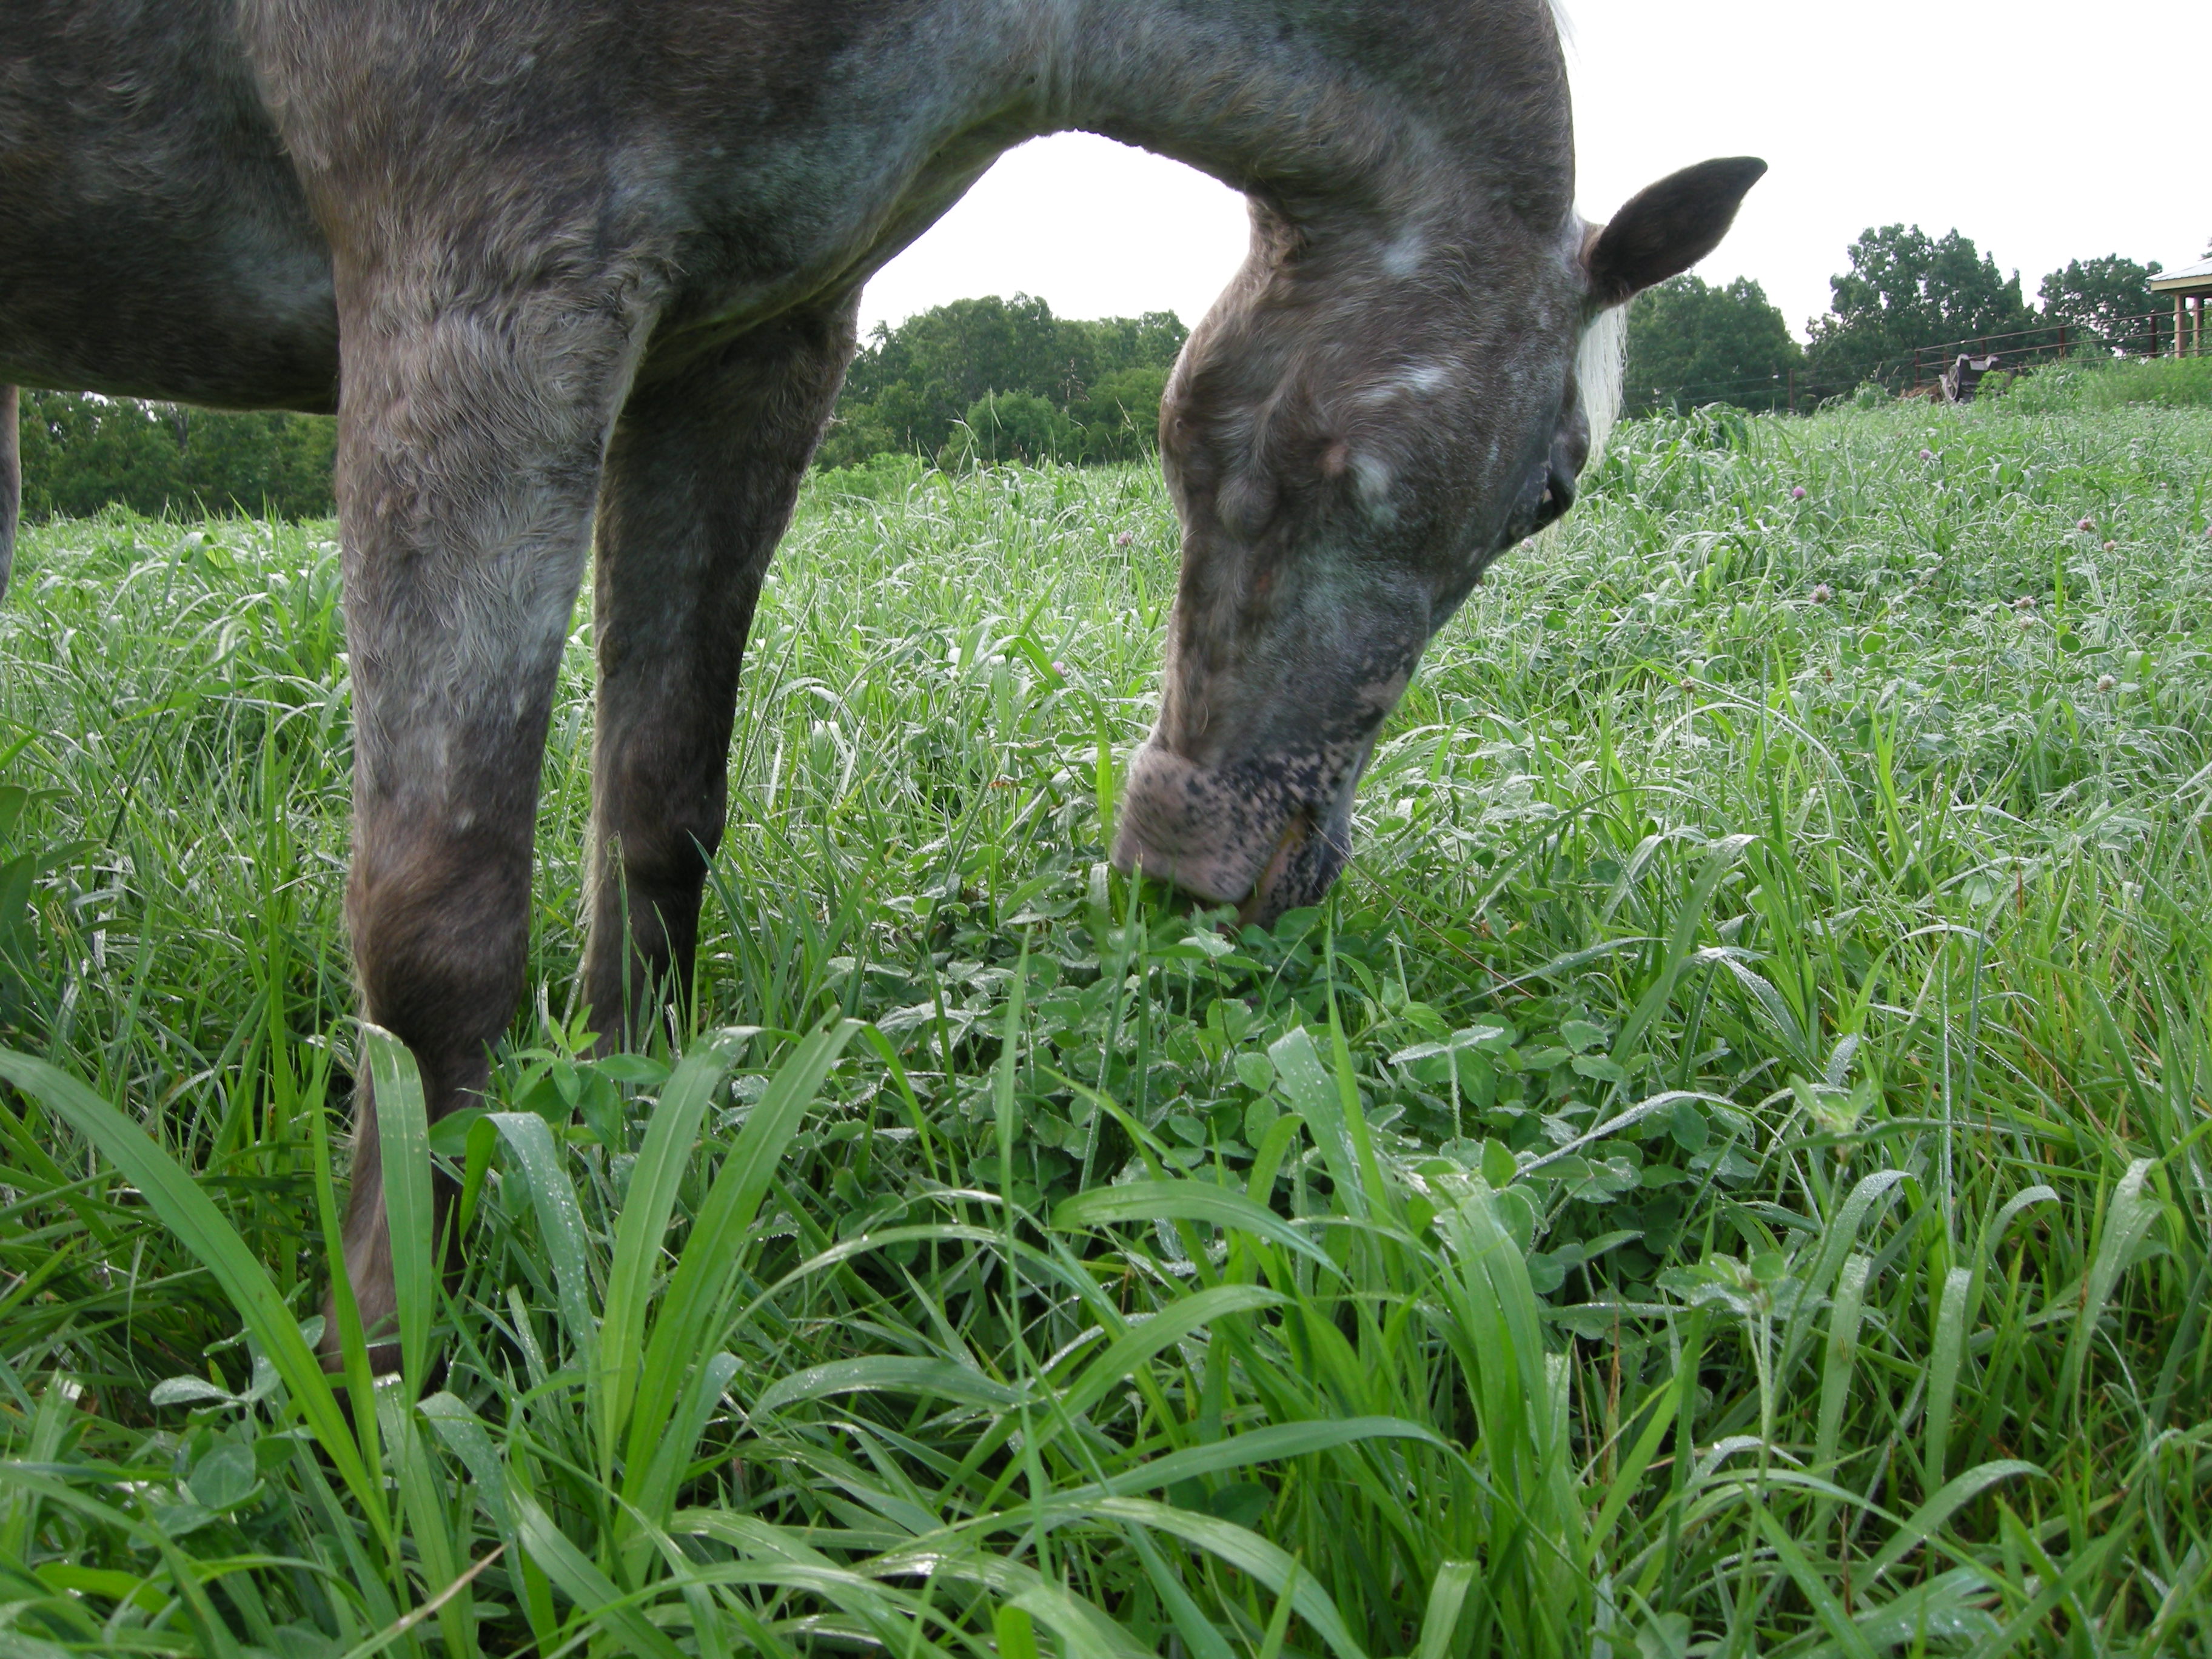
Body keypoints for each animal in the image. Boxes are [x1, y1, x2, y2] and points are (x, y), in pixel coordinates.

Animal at [0, 0, 1762, 1366]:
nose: (1237, 875)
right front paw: (385, 1362)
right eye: (1551, 490)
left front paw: (628, 1152)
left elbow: (660, 809)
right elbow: (437, 922)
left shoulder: (748, 342)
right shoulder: (484, 295)